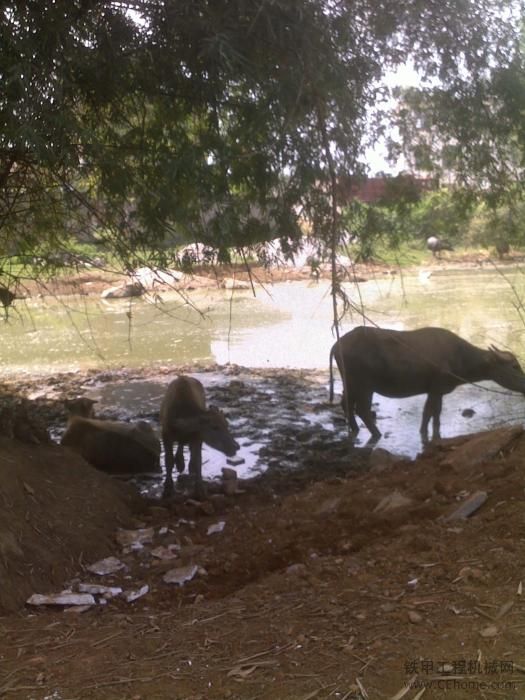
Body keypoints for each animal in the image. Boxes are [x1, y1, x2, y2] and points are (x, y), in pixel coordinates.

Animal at [330, 326, 524, 440]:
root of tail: (336, 345)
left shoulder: (437, 390)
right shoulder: (436, 388)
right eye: (515, 366)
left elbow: (434, 413)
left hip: (350, 383)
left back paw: (355, 429)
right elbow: (428, 412)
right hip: (364, 385)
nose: (524, 384)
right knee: (361, 409)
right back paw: (376, 434)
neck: (459, 357)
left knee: (345, 403)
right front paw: (423, 432)